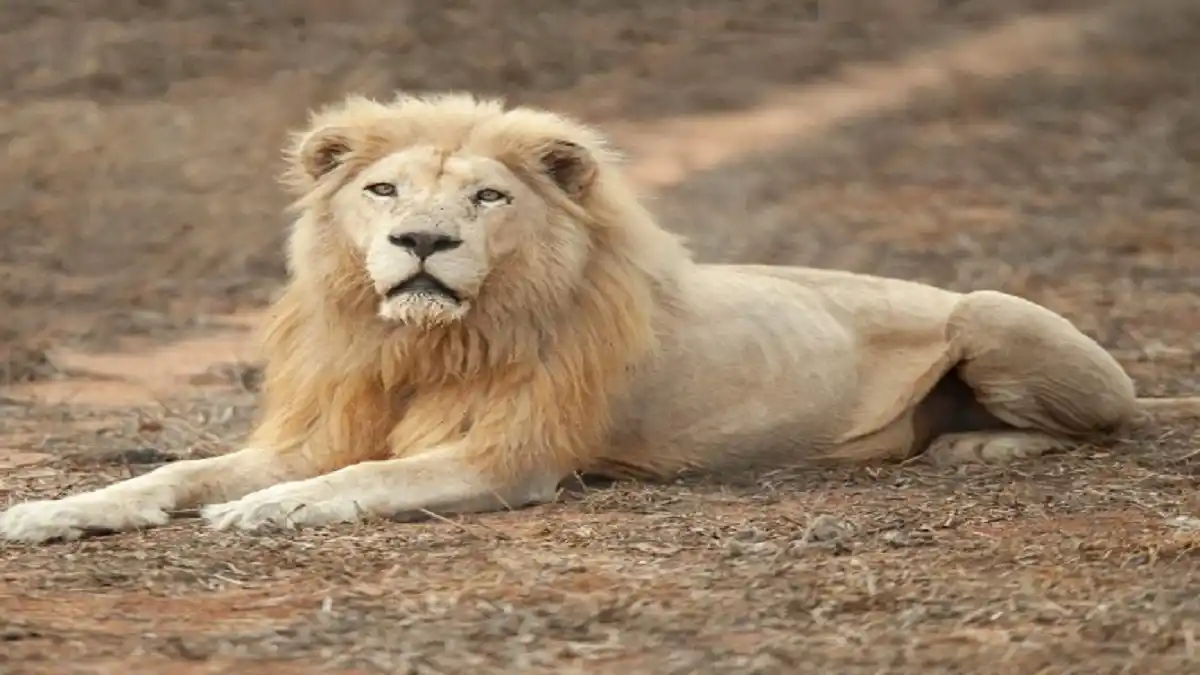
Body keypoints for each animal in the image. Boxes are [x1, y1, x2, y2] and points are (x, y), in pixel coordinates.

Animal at [2, 92, 1194, 544]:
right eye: (384, 192)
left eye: (488, 197)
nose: (422, 243)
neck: (427, 339)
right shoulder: (321, 421)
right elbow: (169, 473)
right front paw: (49, 512)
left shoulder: (507, 457)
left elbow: (365, 477)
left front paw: (269, 511)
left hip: (990, 309)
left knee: (1107, 421)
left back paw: (977, 445)